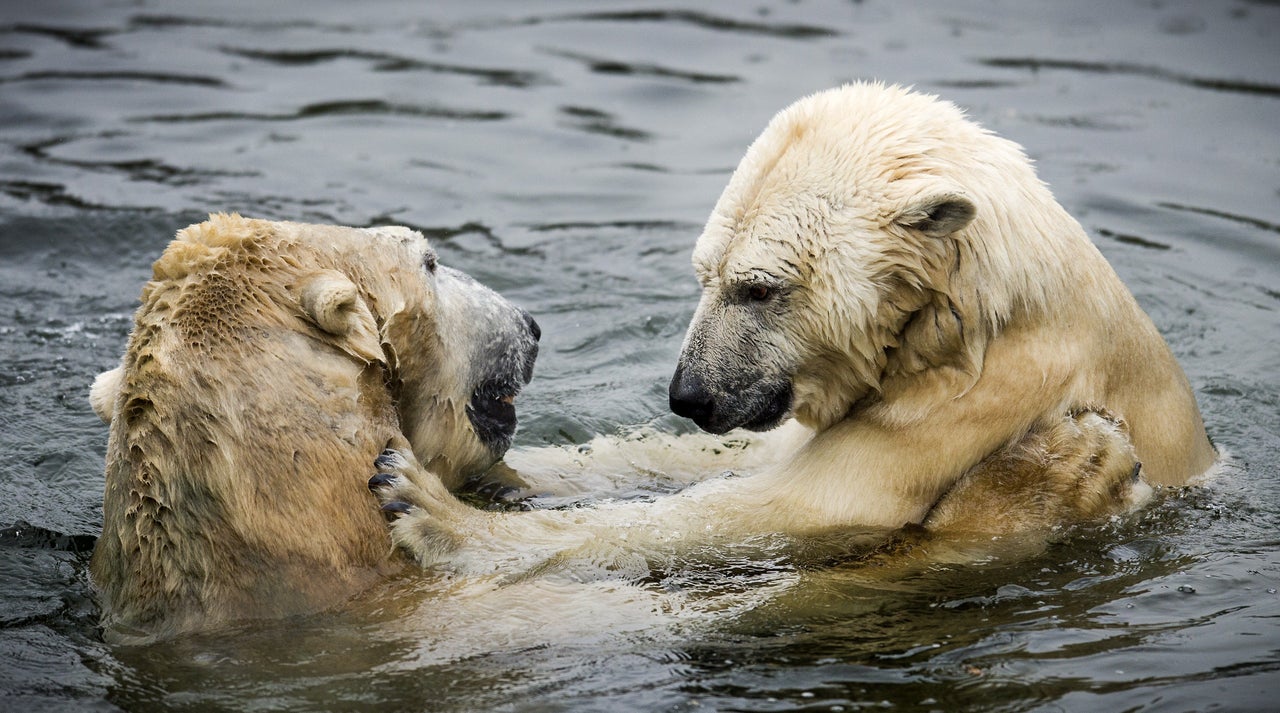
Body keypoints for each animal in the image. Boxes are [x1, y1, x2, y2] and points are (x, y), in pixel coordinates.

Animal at [373, 81, 1218, 573]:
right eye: (703, 274)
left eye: (759, 287)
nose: (688, 395)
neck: (975, 321)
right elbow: (725, 460)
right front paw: (501, 469)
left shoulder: (982, 400)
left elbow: (794, 507)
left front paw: (428, 507)